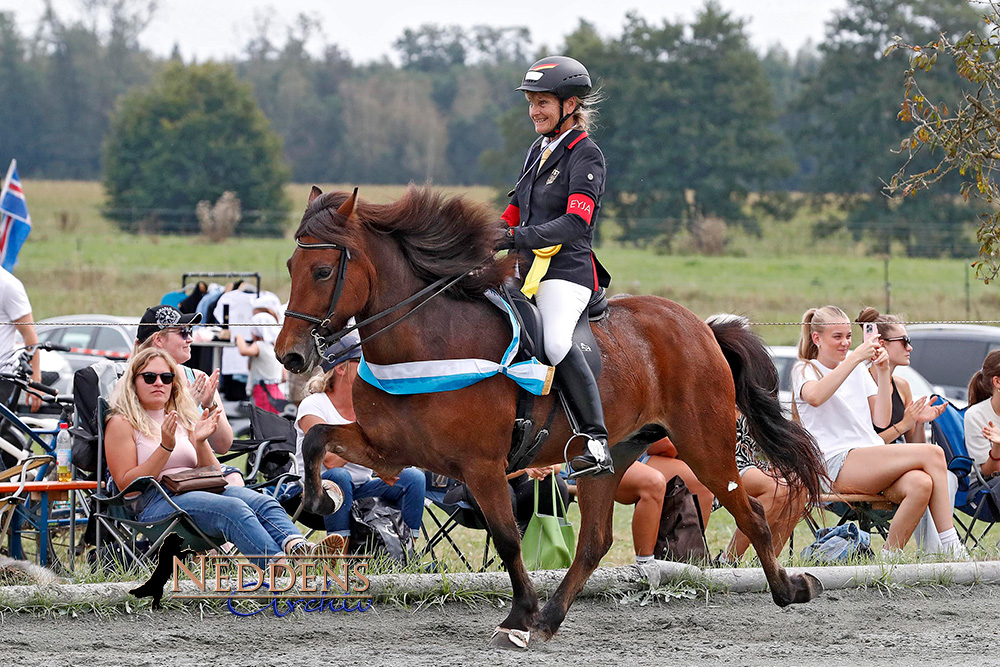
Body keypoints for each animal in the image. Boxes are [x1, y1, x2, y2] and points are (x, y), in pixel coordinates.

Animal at [278, 185, 824, 648]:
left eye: (322, 271)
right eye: (289, 264)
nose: (291, 356)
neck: (428, 340)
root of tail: (703, 327)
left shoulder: (481, 467)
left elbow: (507, 539)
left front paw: (518, 616)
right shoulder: (391, 451)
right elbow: (317, 437)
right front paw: (316, 503)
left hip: (704, 445)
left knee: (752, 515)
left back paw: (791, 589)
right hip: (611, 457)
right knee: (596, 541)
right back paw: (551, 618)